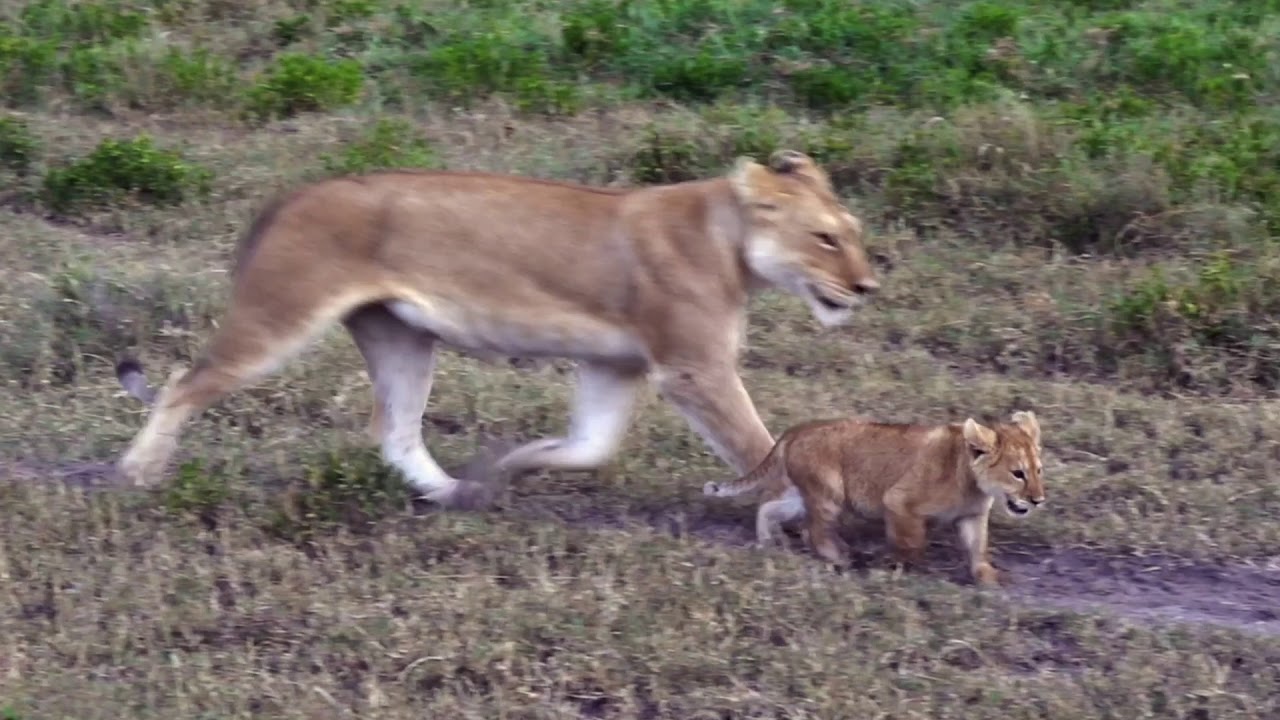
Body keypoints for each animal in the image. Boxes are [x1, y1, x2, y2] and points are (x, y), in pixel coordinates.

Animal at [113, 149, 881, 509]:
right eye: (825, 238)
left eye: (855, 235)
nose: (868, 287)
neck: (728, 238)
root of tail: (292, 194)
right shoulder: (694, 367)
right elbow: (757, 442)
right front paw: (799, 510)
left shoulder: (617, 365)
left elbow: (591, 446)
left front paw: (516, 462)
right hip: (281, 315)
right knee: (183, 383)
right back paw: (138, 472)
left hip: (401, 336)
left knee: (393, 430)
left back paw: (457, 491)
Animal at [703, 411, 1045, 586]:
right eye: (1018, 473)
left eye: (1038, 470)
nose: (1038, 500)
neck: (973, 483)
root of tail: (797, 430)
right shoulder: (898, 501)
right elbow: (911, 542)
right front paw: (895, 566)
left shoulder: (972, 516)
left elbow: (978, 547)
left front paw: (988, 577)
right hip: (829, 493)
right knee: (815, 530)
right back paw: (840, 557)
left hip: (802, 495)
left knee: (768, 506)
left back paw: (767, 543)